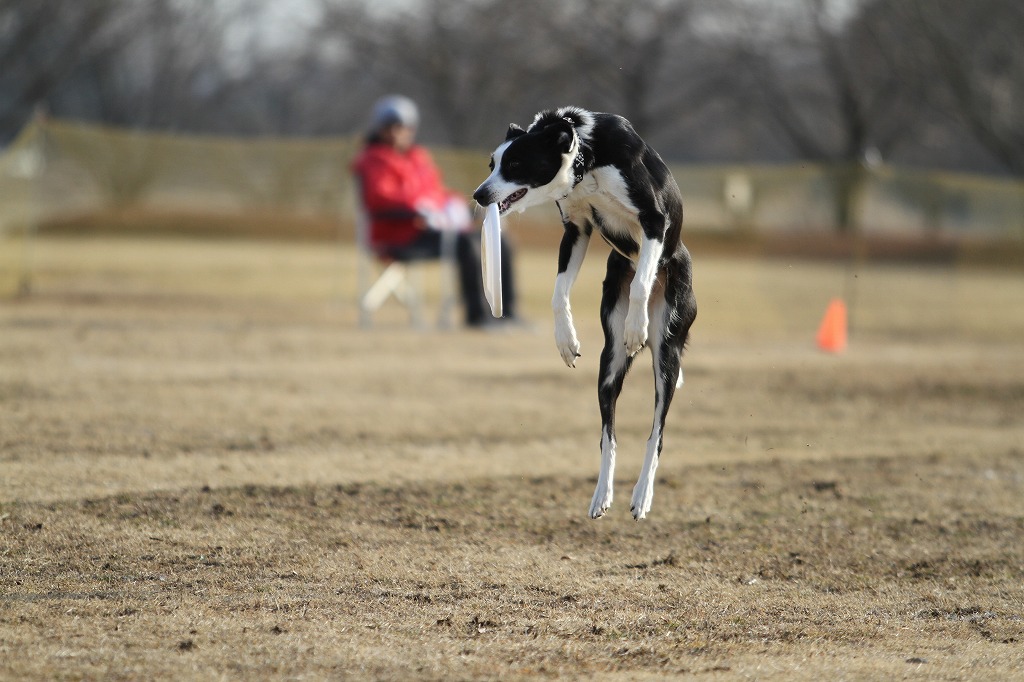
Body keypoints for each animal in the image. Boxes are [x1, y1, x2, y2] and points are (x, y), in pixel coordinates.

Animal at [471, 107, 696, 520]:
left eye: (515, 163)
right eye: (492, 164)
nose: (479, 195)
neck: (585, 160)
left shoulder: (654, 221)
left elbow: (641, 280)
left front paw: (636, 327)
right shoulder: (577, 228)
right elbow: (558, 293)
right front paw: (565, 339)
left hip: (667, 359)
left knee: (655, 434)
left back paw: (642, 496)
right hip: (609, 366)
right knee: (609, 434)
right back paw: (602, 495)